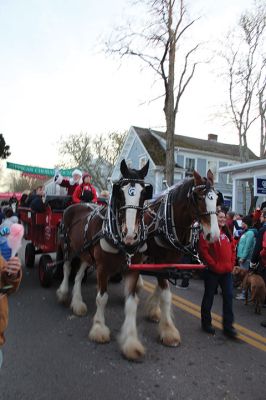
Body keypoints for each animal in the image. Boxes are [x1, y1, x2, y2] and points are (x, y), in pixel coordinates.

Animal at [56, 159, 153, 360]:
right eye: (121, 193)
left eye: (143, 194)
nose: (130, 235)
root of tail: (74, 206)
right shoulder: (102, 268)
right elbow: (102, 298)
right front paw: (99, 328)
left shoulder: (132, 269)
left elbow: (131, 303)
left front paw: (131, 341)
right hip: (68, 248)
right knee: (67, 269)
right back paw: (63, 293)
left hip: (85, 253)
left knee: (78, 276)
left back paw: (77, 303)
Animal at [141, 170, 220, 344]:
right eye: (199, 197)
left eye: (216, 199)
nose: (214, 235)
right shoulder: (160, 260)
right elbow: (166, 294)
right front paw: (169, 332)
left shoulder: (171, 261)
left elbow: (161, 289)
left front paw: (153, 311)